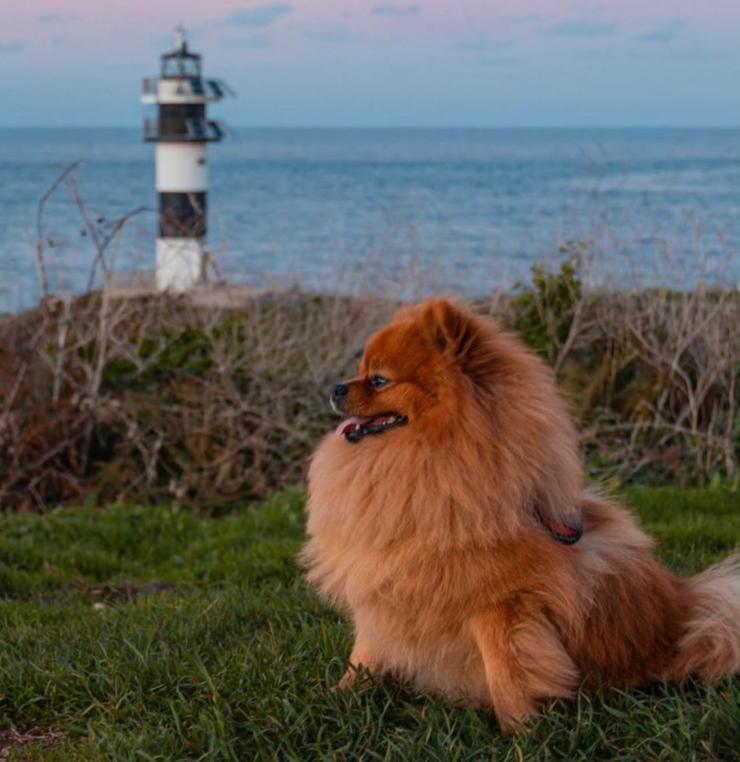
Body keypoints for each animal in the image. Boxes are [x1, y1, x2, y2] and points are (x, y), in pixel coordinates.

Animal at [302, 296, 740, 732]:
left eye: (378, 380)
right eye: (360, 372)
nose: (335, 387)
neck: (425, 460)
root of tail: (683, 608)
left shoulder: (501, 604)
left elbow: (507, 672)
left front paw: (520, 732)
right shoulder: (382, 587)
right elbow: (366, 653)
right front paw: (339, 696)